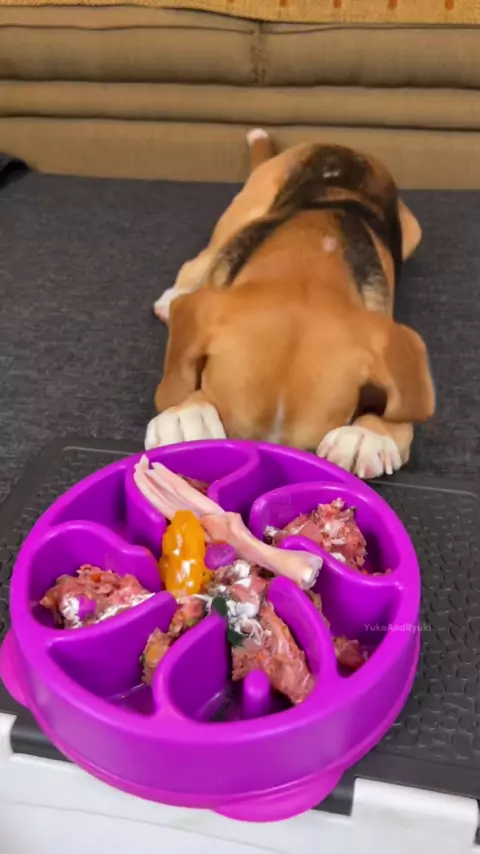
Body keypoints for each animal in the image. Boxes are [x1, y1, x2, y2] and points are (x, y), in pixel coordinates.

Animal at [145, 131, 434, 479]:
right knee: (198, 261)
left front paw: (368, 435)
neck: (306, 256)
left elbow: (404, 405)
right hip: (243, 213)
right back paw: (172, 297)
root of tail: (344, 148)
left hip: (412, 231)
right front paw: (188, 412)